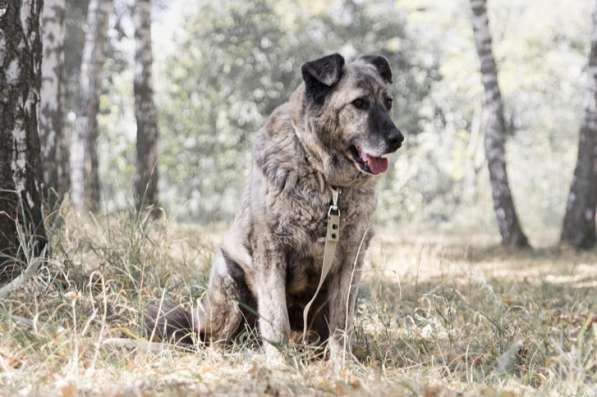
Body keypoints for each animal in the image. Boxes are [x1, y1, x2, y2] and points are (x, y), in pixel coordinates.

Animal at [147, 53, 402, 366]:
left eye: (388, 102)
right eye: (359, 103)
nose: (397, 139)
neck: (324, 179)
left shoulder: (350, 259)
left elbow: (342, 322)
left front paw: (343, 364)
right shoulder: (271, 252)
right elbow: (276, 317)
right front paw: (280, 363)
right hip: (229, 281)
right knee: (215, 343)